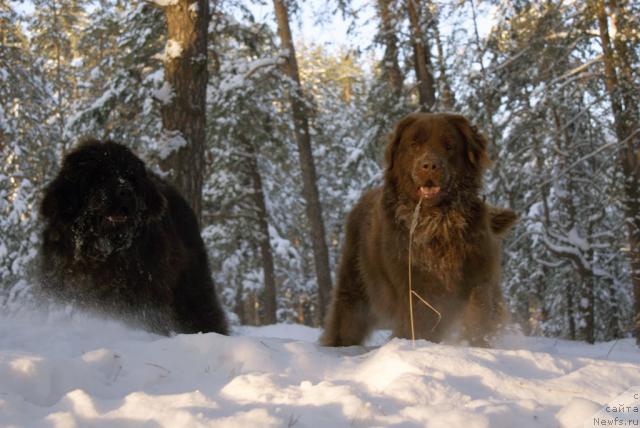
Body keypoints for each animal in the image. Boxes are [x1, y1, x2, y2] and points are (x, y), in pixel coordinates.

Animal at [322, 112, 516, 346]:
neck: (438, 222)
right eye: (414, 145)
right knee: (347, 317)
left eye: (449, 145)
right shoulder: (415, 287)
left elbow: (479, 315)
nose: (430, 165)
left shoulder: (479, 274)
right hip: (355, 284)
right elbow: (419, 323)